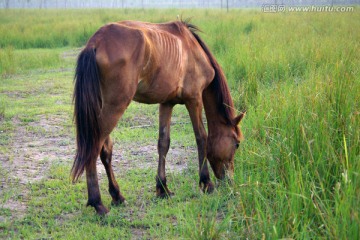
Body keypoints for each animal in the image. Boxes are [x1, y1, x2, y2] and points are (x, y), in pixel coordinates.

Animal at [71, 19, 245, 215]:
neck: (193, 50)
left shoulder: (167, 103)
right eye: (237, 144)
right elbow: (201, 138)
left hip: (102, 110)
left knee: (105, 150)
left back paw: (117, 195)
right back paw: (97, 202)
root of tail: (96, 42)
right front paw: (206, 182)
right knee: (93, 149)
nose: (229, 181)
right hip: (114, 107)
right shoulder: (194, 99)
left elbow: (163, 143)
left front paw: (162, 188)